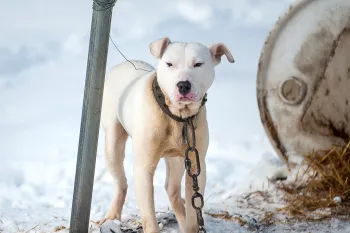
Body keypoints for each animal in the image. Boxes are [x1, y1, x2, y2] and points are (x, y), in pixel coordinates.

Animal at [98, 37, 234, 232]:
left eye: (198, 64)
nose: (183, 85)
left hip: (177, 159)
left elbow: (194, 210)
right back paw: (112, 216)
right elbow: (149, 216)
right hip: (113, 146)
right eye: (169, 64)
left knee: (173, 190)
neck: (177, 117)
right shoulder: (143, 169)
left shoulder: (196, 164)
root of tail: (123, 64)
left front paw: (190, 224)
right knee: (121, 183)